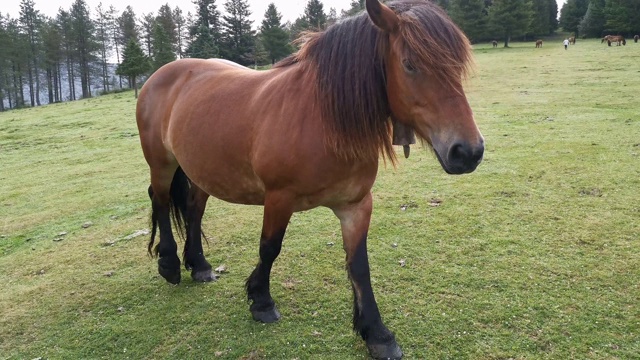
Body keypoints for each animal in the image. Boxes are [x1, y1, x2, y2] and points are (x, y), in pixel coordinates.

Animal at [136, 0, 484, 360]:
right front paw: (261, 301)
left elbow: (359, 265)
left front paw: (376, 332)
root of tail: (160, 75)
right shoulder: (278, 198)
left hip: (203, 171)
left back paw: (200, 265)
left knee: (193, 209)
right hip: (161, 164)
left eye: (458, 65)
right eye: (410, 64)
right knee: (160, 202)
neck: (324, 121)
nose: (467, 152)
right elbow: (269, 248)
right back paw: (169, 265)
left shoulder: (356, 205)